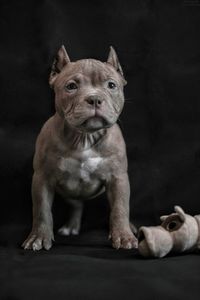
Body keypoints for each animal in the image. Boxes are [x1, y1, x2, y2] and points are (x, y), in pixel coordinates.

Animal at [21, 44, 138, 251]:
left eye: (111, 85)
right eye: (71, 87)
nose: (94, 99)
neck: (84, 137)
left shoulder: (118, 179)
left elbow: (120, 208)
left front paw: (124, 236)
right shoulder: (42, 179)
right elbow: (42, 210)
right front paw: (38, 238)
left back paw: (130, 228)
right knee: (76, 205)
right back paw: (71, 227)